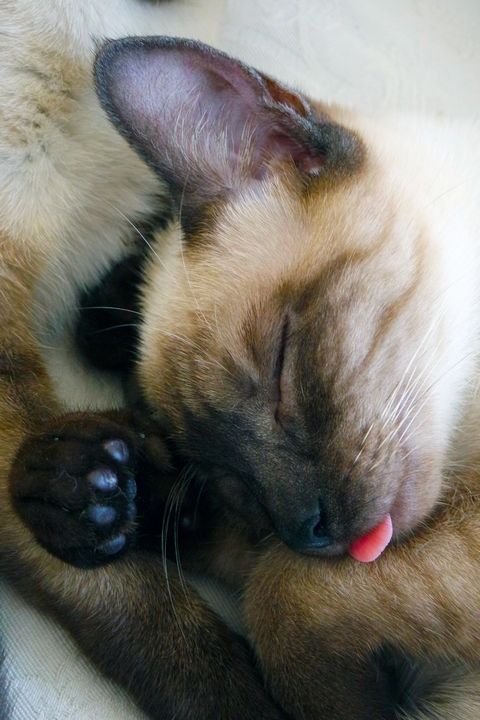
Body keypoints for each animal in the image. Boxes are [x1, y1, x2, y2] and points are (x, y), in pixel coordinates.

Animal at [0, 7, 480, 720]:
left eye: (280, 366)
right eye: (228, 478)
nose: (311, 528)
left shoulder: (448, 540)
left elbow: (281, 599)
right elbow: (259, 573)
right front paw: (83, 486)